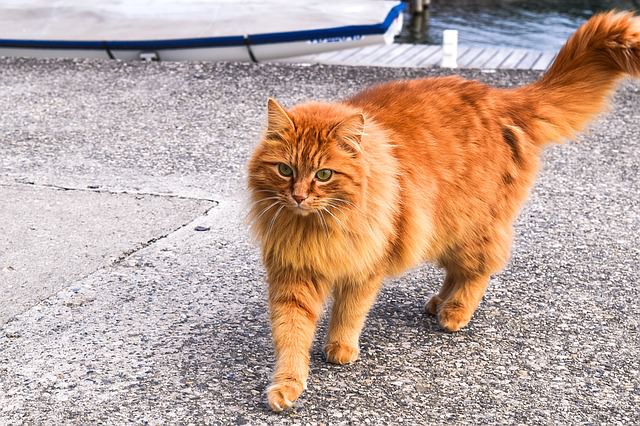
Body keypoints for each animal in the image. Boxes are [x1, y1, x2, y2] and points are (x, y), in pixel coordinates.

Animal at [246, 11, 640, 412]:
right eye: (285, 170)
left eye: (324, 175)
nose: (297, 196)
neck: (317, 227)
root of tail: (499, 96)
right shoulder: (293, 274)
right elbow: (292, 336)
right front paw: (287, 385)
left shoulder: (365, 268)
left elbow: (349, 313)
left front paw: (340, 349)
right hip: (444, 230)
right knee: (458, 271)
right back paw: (439, 303)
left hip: (471, 226)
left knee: (479, 271)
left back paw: (454, 312)